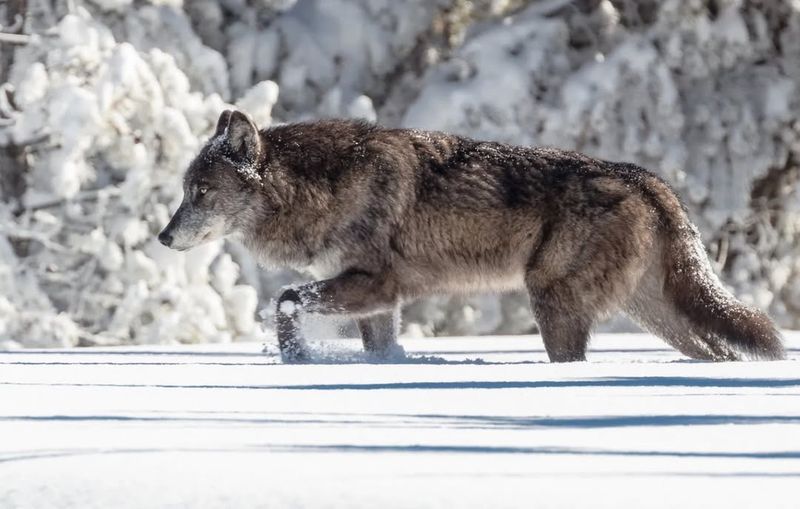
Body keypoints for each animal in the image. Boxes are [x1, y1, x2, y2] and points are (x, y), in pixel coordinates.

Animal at [159, 108, 784, 362]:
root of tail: (646, 178)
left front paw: (297, 360)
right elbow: (375, 347)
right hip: (654, 314)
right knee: (717, 352)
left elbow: (285, 301)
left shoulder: (375, 284)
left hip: (552, 301)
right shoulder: (379, 301)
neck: (322, 187)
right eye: (185, 190)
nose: (163, 238)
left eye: (201, 192)